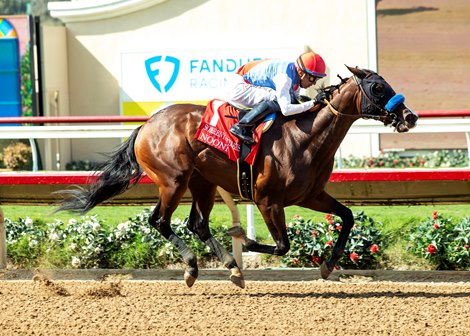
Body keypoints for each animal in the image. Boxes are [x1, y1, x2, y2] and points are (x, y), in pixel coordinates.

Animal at [56, 66, 418, 288]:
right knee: (160, 221)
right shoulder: (268, 200)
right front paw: (242, 237)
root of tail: (146, 125)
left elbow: (348, 216)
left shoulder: (309, 195)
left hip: (202, 182)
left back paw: (231, 268)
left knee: (197, 224)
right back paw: (194, 266)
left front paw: (328, 265)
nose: (410, 116)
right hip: (173, 180)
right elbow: (283, 245)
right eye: (377, 87)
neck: (305, 137)